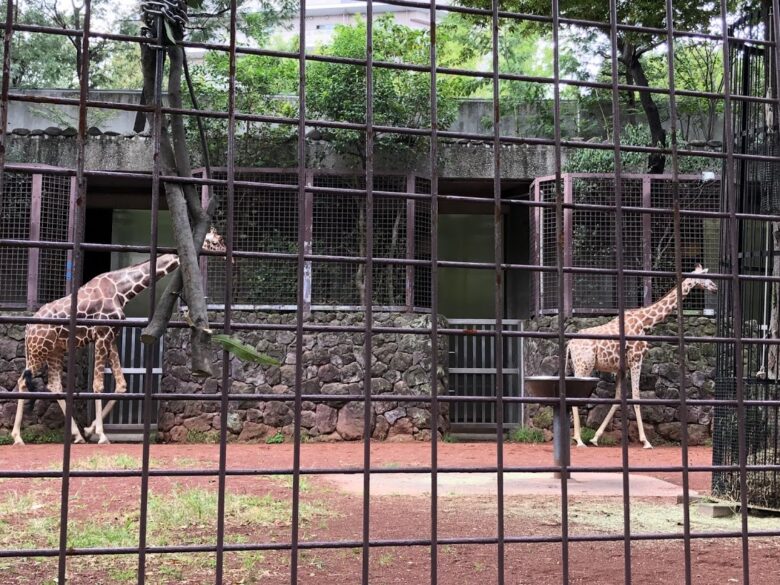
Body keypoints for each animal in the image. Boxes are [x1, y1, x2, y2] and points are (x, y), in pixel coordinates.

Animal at [11, 226, 225, 444]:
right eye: (217, 241)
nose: (227, 255)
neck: (121, 290)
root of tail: (28, 328)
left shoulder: (112, 336)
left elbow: (121, 384)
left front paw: (89, 429)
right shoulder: (102, 335)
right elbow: (98, 385)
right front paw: (102, 434)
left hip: (55, 351)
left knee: (54, 385)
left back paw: (77, 435)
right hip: (38, 351)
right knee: (22, 382)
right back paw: (18, 437)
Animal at [564, 262, 716, 450]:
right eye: (705, 276)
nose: (715, 287)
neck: (645, 322)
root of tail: (570, 343)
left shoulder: (621, 367)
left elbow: (618, 398)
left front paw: (595, 438)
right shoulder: (637, 359)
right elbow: (636, 397)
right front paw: (646, 441)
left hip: (577, 365)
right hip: (584, 365)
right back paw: (578, 440)